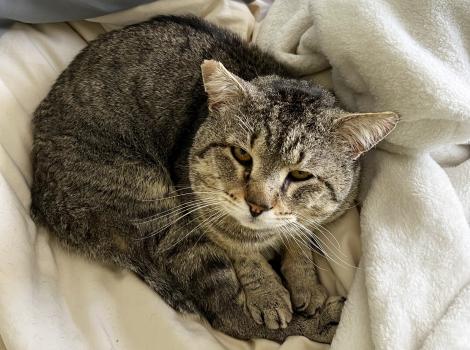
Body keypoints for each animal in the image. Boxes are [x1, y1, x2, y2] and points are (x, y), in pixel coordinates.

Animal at [29, 15, 398, 344]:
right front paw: (269, 294)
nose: (256, 205)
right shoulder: (198, 203)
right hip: (161, 209)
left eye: (300, 174)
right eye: (242, 155)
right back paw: (321, 324)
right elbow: (240, 249)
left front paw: (304, 281)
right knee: (228, 315)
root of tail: (44, 202)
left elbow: (301, 233)